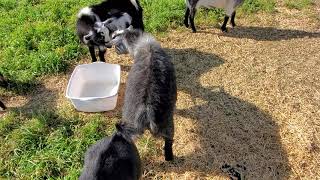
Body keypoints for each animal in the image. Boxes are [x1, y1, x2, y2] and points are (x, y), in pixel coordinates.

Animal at [112, 28, 178, 161]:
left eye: (118, 39)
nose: (114, 48)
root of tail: (148, 109)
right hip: (167, 123)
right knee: (169, 142)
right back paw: (169, 157)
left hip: (130, 125)